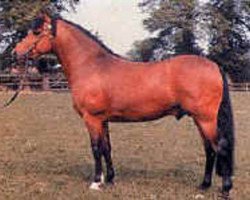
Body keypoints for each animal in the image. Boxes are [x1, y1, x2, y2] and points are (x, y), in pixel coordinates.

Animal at [13, 12, 234, 195]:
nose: (15, 53)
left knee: (220, 148)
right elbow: (106, 148)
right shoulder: (103, 120)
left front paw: (96, 182)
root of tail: (214, 66)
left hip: (205, 119)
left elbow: (95, 149)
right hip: (200, 120)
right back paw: (204, 186)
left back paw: (224, 190)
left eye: (36, 31)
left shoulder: (91, 119)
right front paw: (110, 180)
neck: (91, 66)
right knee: (209, 150)